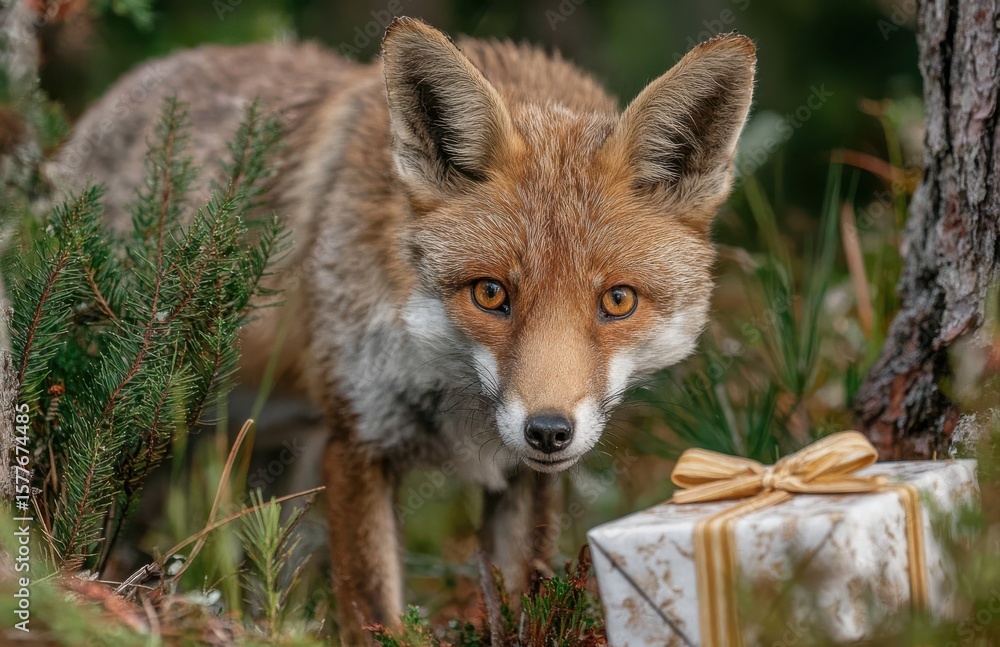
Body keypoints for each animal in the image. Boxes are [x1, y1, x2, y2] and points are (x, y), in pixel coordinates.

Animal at [50, 17, 756, 643]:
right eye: (491, 294)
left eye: (617, 300)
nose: (550, 431)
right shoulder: (358, 441)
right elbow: (374, 614)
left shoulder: (522, 482)